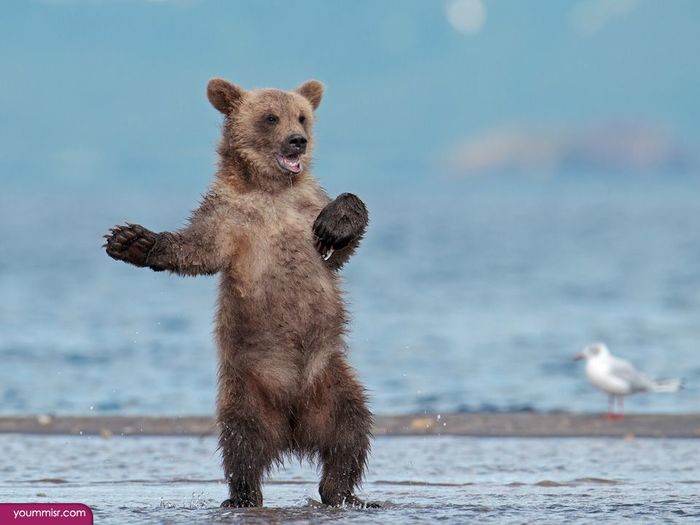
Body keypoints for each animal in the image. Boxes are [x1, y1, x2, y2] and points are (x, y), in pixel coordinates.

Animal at [102, 75, 374, 506]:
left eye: (302, 116)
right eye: (270, 117)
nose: (298, 141)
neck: (271, 189)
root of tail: (294, 424)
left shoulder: (307, 209)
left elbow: (340, 244)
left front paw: (336, 223)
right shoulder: (228, 217)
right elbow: (196, 249)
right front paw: (132, 241)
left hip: (331, 377)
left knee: (351, 429)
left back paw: (343, 492)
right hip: (246, 386)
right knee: (242, 441)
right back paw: (245, 495)